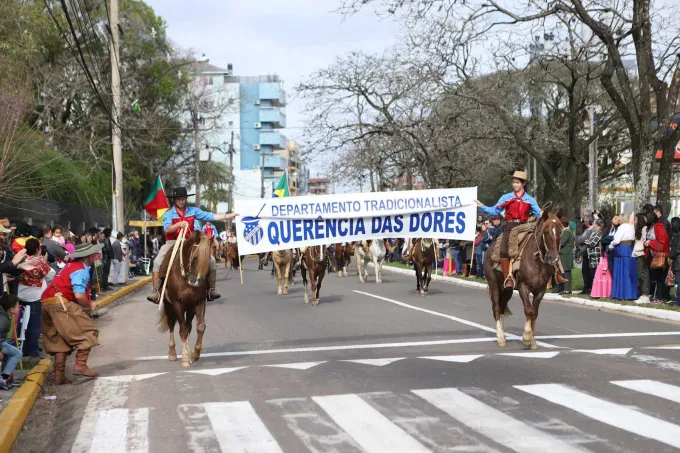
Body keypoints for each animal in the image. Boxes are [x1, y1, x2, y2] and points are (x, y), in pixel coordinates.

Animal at [157, 231, 212, 366]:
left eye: (209, 259)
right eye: (195, 257)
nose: (196, 282)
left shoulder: (199, 302)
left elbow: (200, 327)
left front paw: (195, 354)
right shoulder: (177, 304)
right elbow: (182, 330)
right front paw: (186, 359)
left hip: (190, 309)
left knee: (189, 326)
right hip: (169, 307)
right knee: (172, 325)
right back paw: (172, 353)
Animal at [484, 211, 564, 350]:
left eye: (560, 231)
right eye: (546, 231)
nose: (553, 258)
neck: (536, 259)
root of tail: (490, 248)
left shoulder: (541, 290)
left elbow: (534, 313)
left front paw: (532, 341)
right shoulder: (523, 287)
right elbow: (529, 310)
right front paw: (526, 337)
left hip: (507, 290)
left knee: (501, 306)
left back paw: (503, 335)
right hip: (494, 284)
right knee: (496, 308)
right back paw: (500, 338)